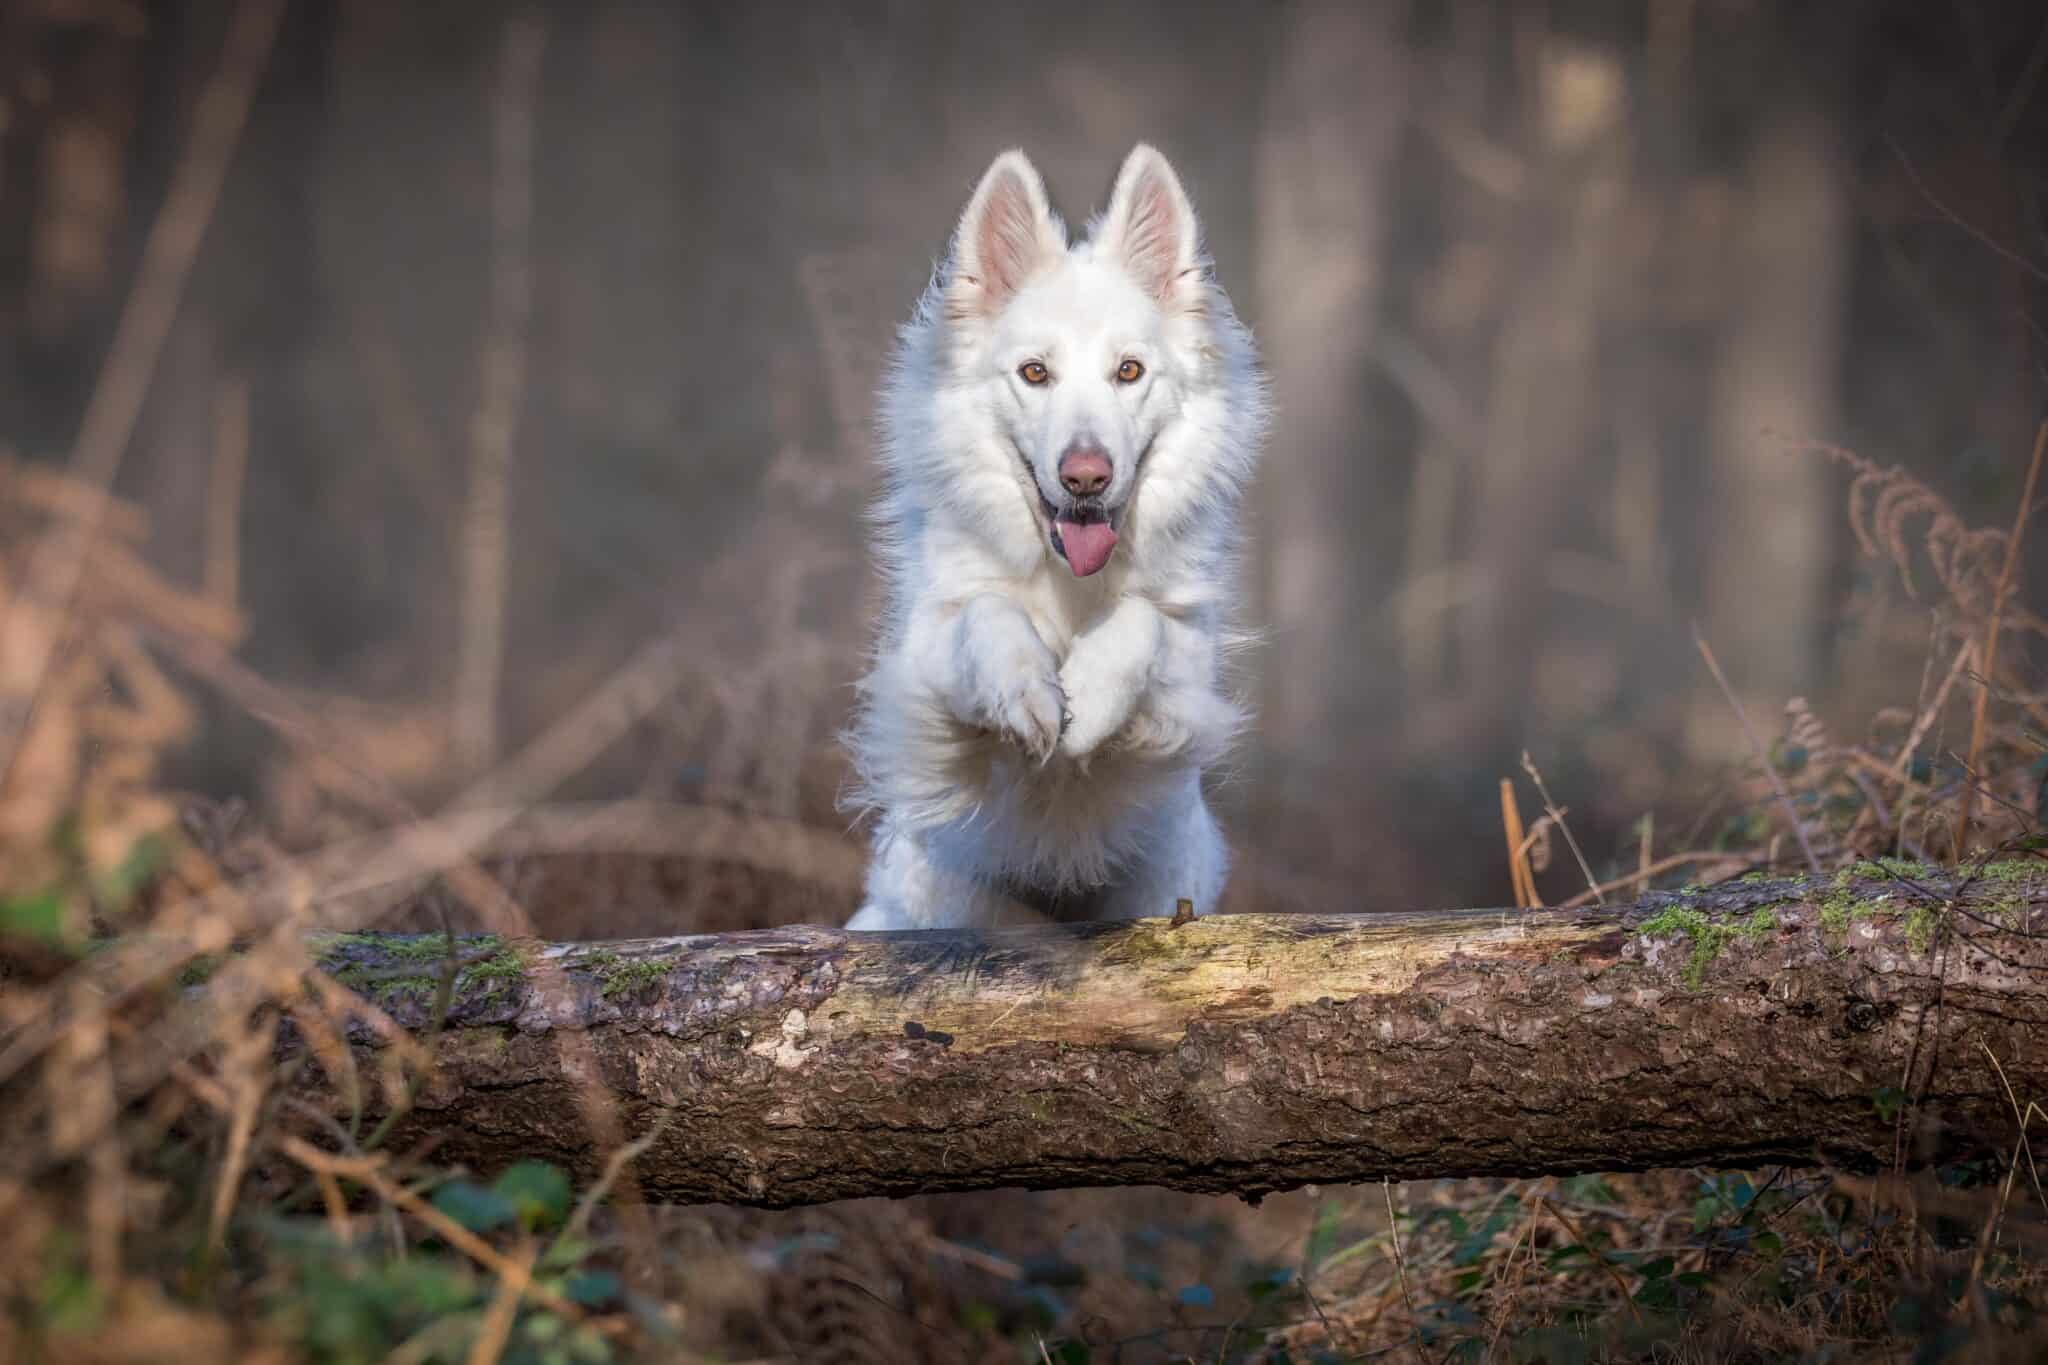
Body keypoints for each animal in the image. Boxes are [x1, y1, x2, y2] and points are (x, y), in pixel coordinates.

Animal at [843, 149, 1261, 933]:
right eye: (1035, 372)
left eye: (1129, 371)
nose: (1086, 477)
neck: (1071, 586)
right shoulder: (922, 659)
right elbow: (984, 613)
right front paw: (1027, 690)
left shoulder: (1188, 677)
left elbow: (1143, 621)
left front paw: (1088, 697)